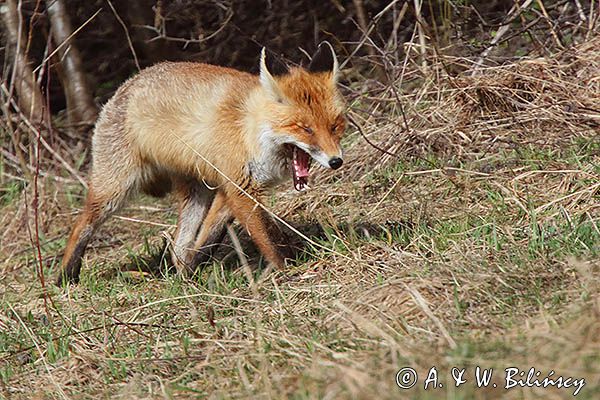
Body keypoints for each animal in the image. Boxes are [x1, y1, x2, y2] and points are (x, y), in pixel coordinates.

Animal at [57, 43, 346, 284]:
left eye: (334, 126)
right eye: (305, 128)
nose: (336, 161)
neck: (249, 130)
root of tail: (124, 86)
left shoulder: (230, 190)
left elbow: (208, 240)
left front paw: (193, 270)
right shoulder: (240, 189)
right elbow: (269, 238)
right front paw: (288, 269)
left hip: (198, 193)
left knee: (178, 248)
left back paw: (184, 276)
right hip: (114, 191)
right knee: (79, 226)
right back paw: (65, 277)